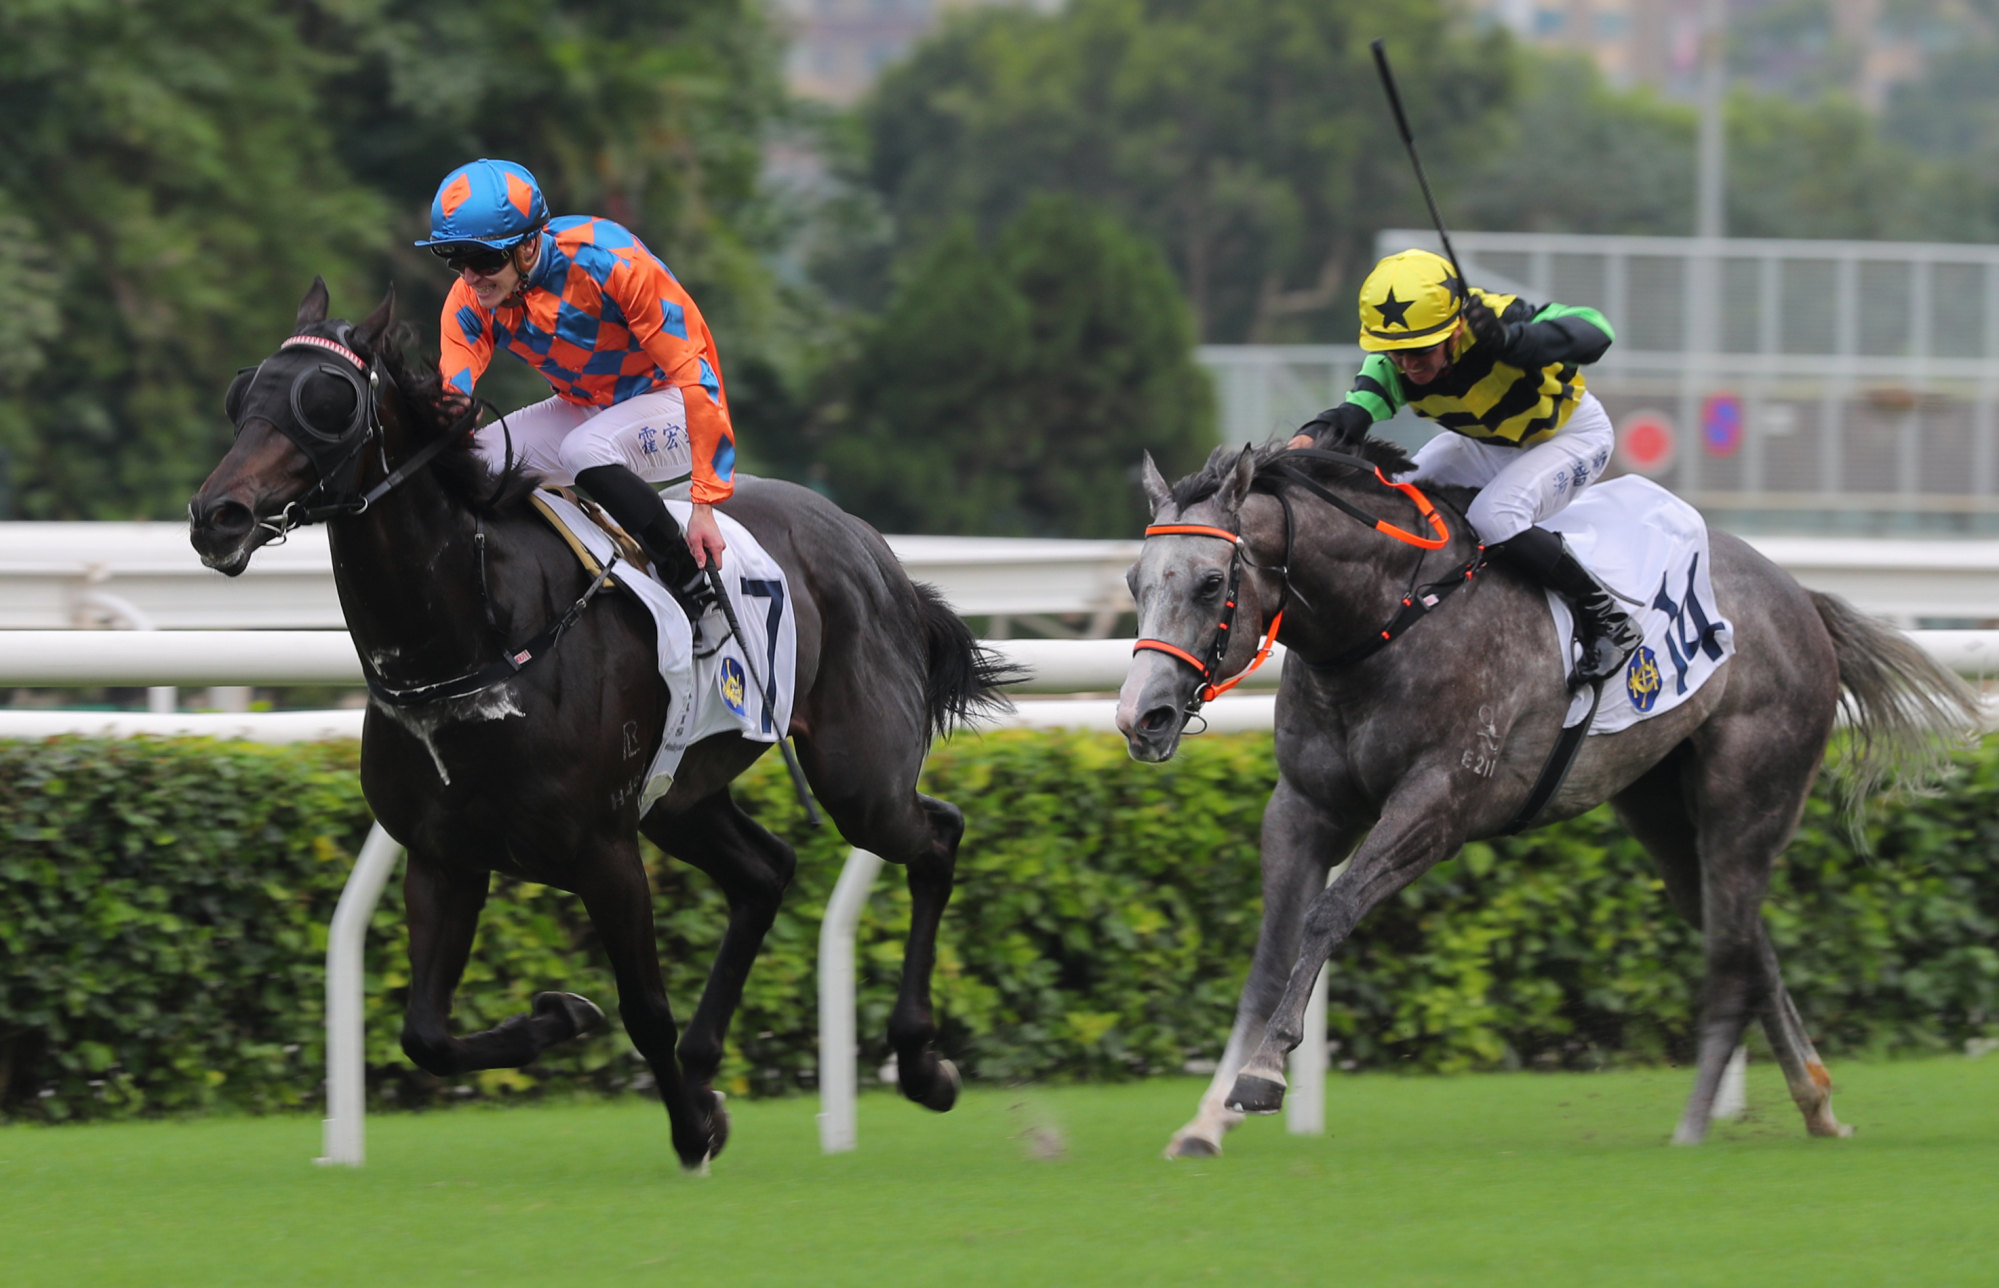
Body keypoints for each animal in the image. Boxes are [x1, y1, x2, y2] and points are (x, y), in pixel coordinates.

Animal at [188, 282, 1015, 1168]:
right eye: (245, 393)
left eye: (328, 401)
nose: (217, 515)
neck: (478, 636)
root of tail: (872, 547)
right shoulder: (443, 858)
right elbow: (425, 1035)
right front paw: (564, 1019)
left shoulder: (603, 852)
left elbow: (643, 1008)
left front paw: (690, 1127)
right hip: (681, 795)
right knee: (765, 872)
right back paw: (708, 1064)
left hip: (857, 776)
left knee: (934, 836)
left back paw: (920, 1060)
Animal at [1119, 438, 1975, 1152]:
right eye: (1134, 581)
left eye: (1209, 582)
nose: (1140, 716)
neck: (1384, 622)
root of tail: (1800, 598)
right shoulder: (1302, 807)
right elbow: (1270, 951)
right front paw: (1207, 1119)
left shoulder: (1439, 804)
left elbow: (1329, 913)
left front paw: (1263, 1075)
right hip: (1661, 807)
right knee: (1742, 937)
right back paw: (1815, 1102)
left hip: (1749, 797)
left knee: (1731, 954)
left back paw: (1694, 1126)